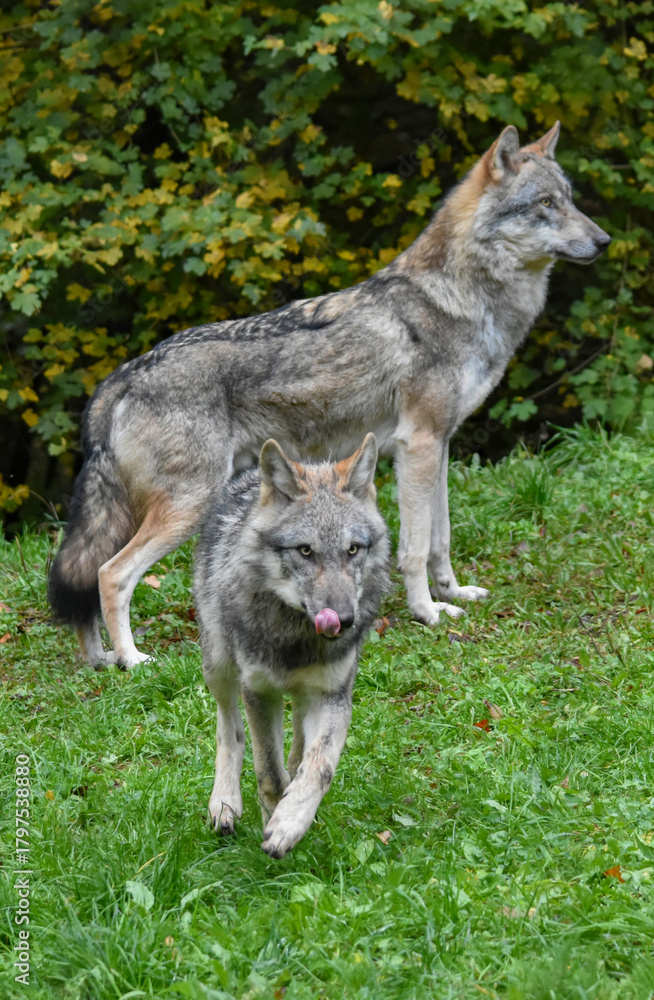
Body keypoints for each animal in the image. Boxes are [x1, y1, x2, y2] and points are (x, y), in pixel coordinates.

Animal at [49, 121, 610, 668]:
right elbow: (414, 549)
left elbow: (441, 539)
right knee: (110, 574)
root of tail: (121, 377)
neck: (462, 298)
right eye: (546, 204)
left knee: (85, 582)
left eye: (569, 199)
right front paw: (427, 612)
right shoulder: (417, 446)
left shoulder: (441, 446)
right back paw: (132, 660)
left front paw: (454, 593)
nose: (604, 240)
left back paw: (98, 660)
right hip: (189, 504)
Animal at [194, 433, 389, 858]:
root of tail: (247, 476)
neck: (296, 637)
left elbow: (318, 766)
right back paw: (225, 804)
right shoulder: (258, 691)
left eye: (353, 550)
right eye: (305, 550)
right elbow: (268, 770)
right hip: (218, 665)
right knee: (229, 729)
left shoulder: (333, 696)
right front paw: (272, 815)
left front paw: (290, 823)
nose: (344, 619)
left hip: (304, 696)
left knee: (300, 747)